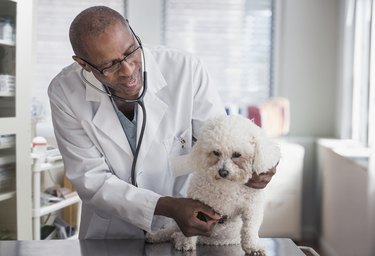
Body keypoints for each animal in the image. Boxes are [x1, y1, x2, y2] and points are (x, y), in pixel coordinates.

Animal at [148, 115, 282, 255]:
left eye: (237, 154)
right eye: (216, 152)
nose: (223, 172)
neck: (227, 185)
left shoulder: (252, 207)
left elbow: (250, 228)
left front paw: (253, 247)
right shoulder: (197, 207)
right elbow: (190, 230)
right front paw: (186, 244)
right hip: (175, 224)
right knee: (168, 231)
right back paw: (158, 236)